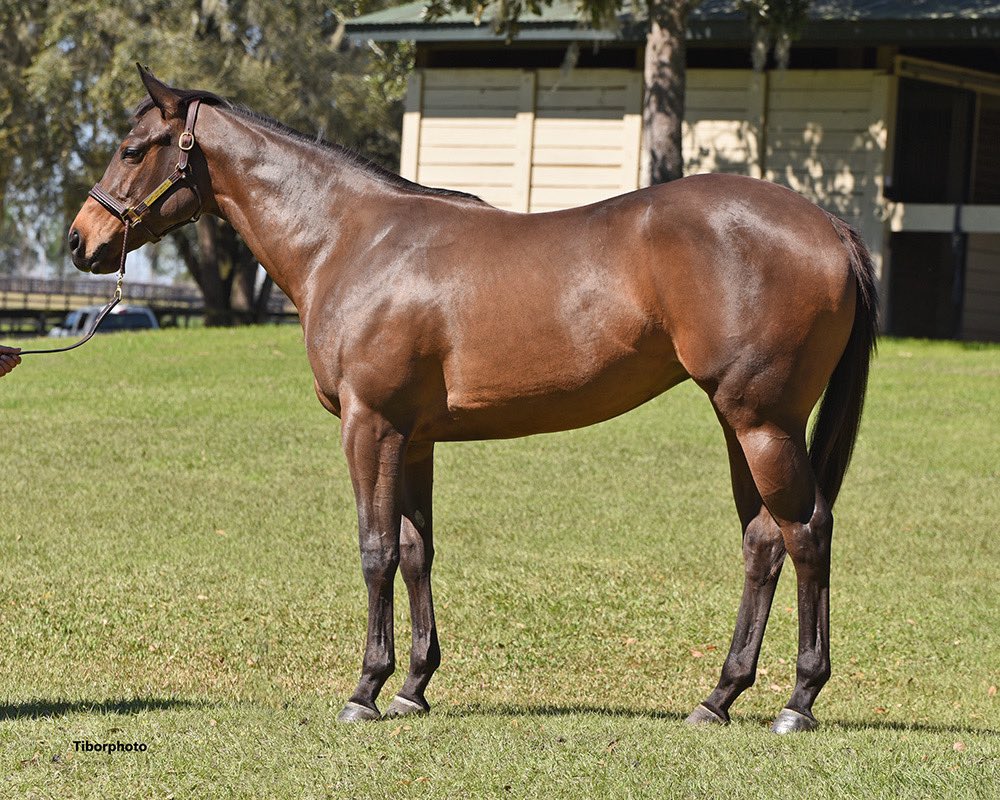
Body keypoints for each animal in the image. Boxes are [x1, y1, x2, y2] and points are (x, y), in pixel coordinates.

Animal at [69, 65, 877, 733]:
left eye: (133, 148)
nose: (81, 241)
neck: (351, 240)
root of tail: (828, 226)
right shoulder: (414, 437)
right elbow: (416, 550)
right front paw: (413, 687)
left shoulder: (371, 427)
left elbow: (375, 551)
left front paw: (365, 690)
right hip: (743, 424)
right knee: (764, 542)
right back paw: (719, 697)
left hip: (763, 422)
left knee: (806, 533)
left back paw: (798, 701)